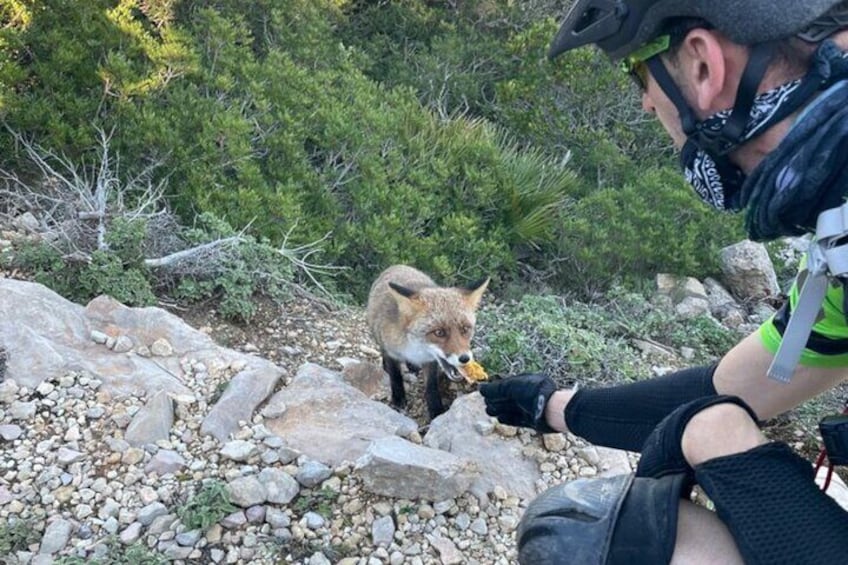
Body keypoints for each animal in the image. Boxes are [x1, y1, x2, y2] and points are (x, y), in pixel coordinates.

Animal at [366, 264, 490, 418]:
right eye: (439, 333)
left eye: (465, 329)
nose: (465, 358)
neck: (414, 348)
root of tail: (397, 265)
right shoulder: (391, 352)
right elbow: (395, 378)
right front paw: (398, 400)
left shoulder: (430, 360)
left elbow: (431, 387)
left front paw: (436, 411)